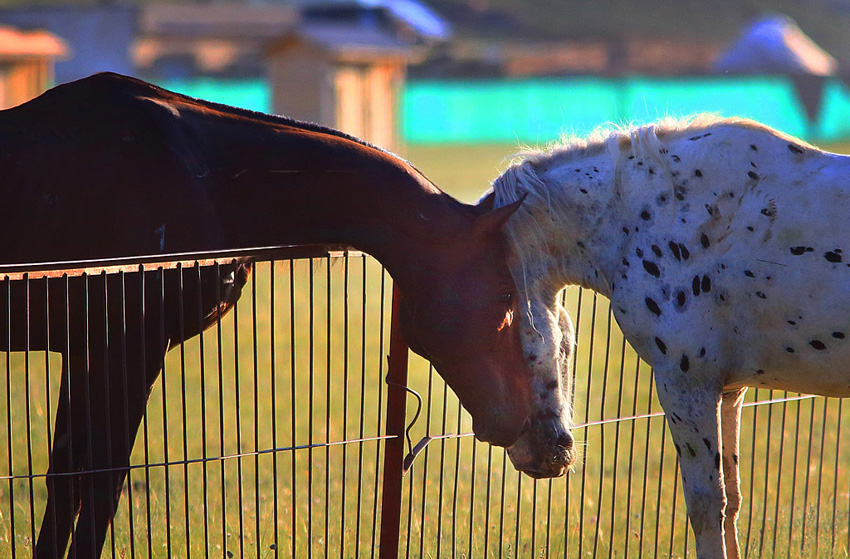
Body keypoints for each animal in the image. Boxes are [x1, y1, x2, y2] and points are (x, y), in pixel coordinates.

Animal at [0, 73, 568, 559]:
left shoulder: (86, 349)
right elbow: (98, 483)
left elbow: (66, 480)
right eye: (504, 294)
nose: (526, 422)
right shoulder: (125, 350)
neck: (207, 176)